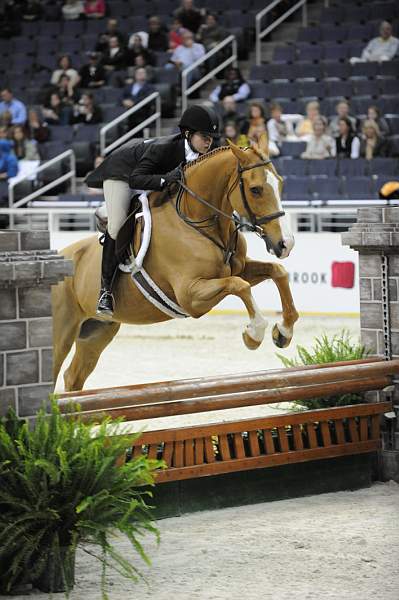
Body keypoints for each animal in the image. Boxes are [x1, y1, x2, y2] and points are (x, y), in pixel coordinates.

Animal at [51, 135, 298, 394]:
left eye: (280, 184)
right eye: (255, 190)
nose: (286, 244)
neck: (197, 222)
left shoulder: (240, 269)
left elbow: (276, 272)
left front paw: (283, 332)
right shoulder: (190, 296)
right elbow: (239, 285)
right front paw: (254, 334)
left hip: (97, 331)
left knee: (73, 376)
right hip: (61, 333)